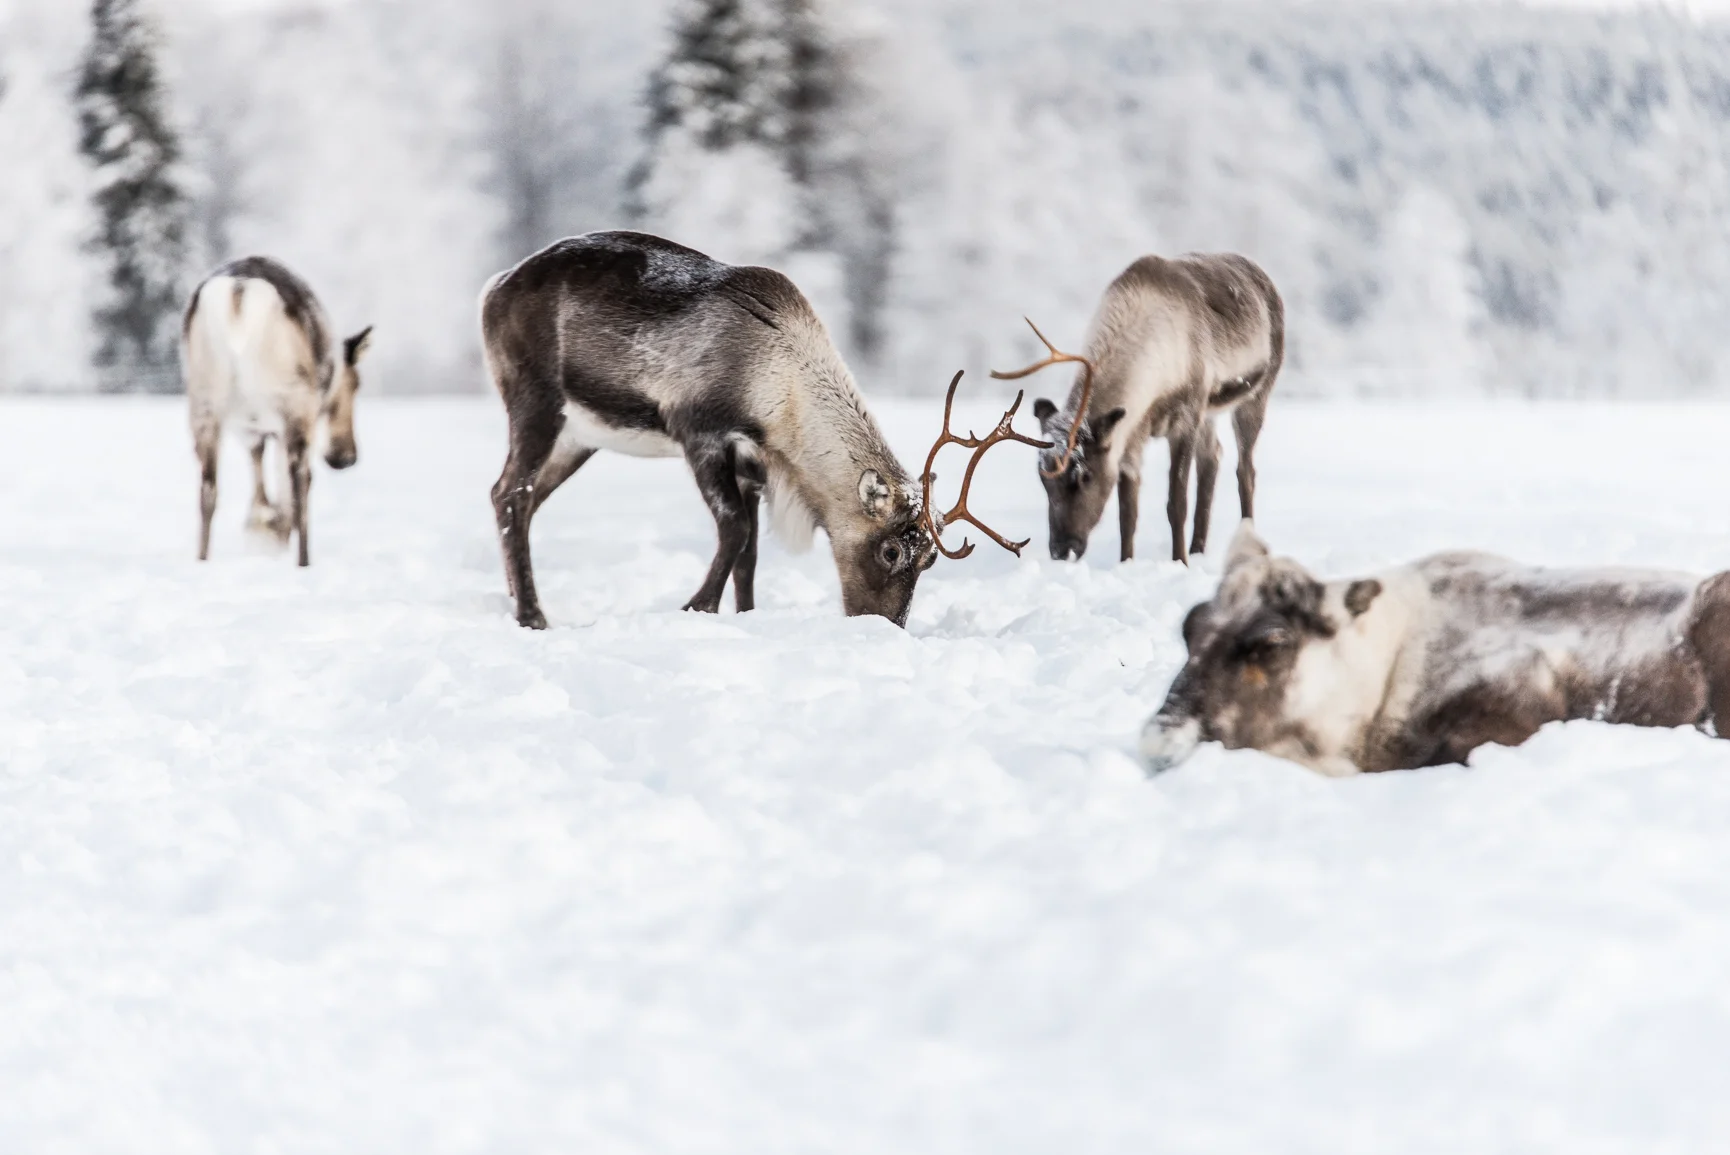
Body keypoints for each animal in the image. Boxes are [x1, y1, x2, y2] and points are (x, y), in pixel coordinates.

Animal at [182, 256, 372, 566]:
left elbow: (259, 475)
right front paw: (273, 531)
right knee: (301, 481)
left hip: (205, 403)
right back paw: (303, 561)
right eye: (356, 384)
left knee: (208, 489)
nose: (345, 458)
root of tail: (239, 293)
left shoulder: (250, 428)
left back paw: (203, 558)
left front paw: (264, 528)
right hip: (293, 401)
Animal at [479, 230, 1044, 629]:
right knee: (510, 490)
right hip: (535, 400)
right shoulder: (700, 433)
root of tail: (494, 286)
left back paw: (516, 600)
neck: (780, 396)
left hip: (579, 437)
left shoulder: (754, 464)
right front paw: (697, 607)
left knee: (519, 499)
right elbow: (734, 529)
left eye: (929, 559)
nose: (885, 626)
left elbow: (750, 552)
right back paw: (532, 615)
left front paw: (746, 615)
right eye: (890, 550)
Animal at [991, 253, 1284, 565]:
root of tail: (1265, 279)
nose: (1062, 550)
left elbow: (1176, 503)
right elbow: (1127, 514)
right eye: (1043, 478)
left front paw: (1179, 562)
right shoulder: (1131, 437)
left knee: (1245, 471)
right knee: (1212, 458)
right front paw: (1126, 563)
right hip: (1210, 413)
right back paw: (1198, 548)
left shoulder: (1185, 418)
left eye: (1085, 475)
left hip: (1255, 395)